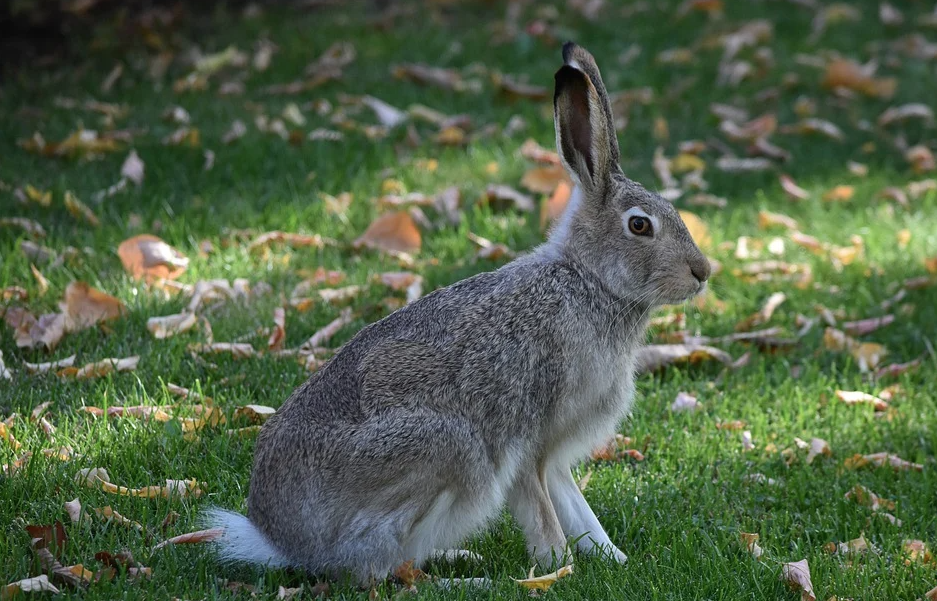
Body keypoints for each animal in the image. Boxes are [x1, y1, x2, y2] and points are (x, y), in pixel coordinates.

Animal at [205, 41, 710, 585]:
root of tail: (283, 542)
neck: (588, 281)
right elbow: (544, 516)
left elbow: (578, 509)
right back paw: (468, 578)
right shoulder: (526, 443)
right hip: (448, 448)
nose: (702, 272)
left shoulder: (554, 457)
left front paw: (614, 560)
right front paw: (557, 570)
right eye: (640, 226)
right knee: (370, 569)